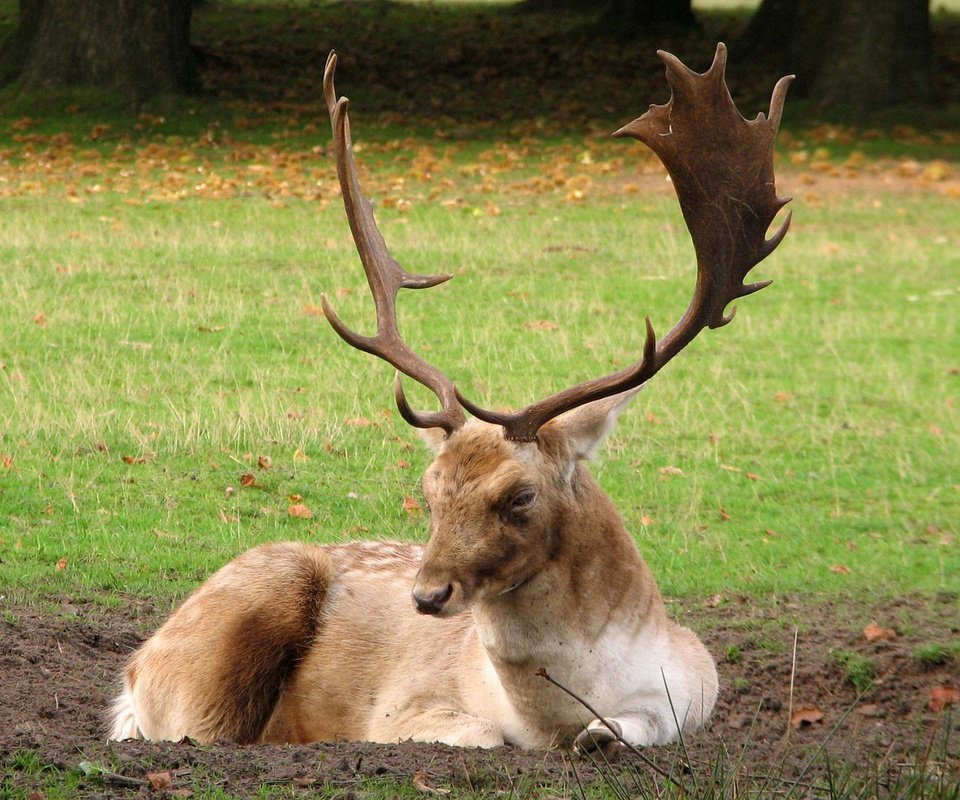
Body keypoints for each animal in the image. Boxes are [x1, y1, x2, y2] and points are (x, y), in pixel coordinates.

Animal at [109, 43, 792, 756]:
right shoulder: (402, 710)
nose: (428, 596)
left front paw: (602, 735)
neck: (552, 716)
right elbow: (482, 736)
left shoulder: (696, 686)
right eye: (430, 489)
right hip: (225, 644)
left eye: (520, 496)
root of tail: (132, 674)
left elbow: (632, 728)